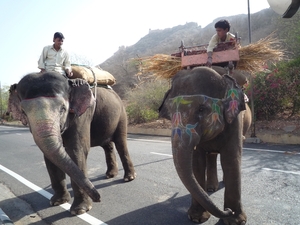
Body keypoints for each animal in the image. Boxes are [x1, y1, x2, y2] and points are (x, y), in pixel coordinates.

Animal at [7, 71, 137, 214]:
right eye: (24, 112)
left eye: (63, 109)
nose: (98, 198)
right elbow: (49, 156)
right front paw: (57, 202)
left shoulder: (82, 115)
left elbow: (76, 150)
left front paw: (79, 210)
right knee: (107, 145)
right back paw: (110, 175)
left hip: (122, 114)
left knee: (120, 143)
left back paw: (129, 178)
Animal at [159, 67, 248, 225]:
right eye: (170, 112)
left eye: (201, 109)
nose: (228, 210)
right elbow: (197, 163)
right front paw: (196, 218)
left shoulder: (235, 122)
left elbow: (231, 159)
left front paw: (237, 221)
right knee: (211, 156)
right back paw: (210, 188)